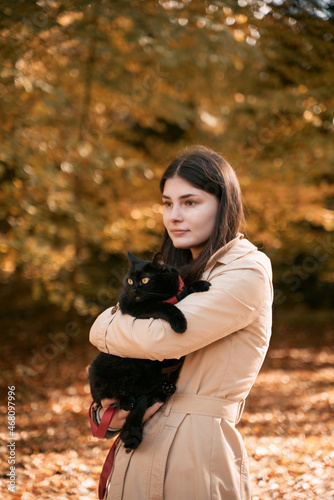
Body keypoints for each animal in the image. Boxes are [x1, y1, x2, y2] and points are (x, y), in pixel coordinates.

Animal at [88, 252, 209, 452]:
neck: (166, 294)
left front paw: (200, 284)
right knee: (111, 394)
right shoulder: (134, 305)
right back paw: (126, 400)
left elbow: (185, 291)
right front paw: (180, 323)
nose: (135, 290)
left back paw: (165, 388)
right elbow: (164, 306)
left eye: (144, 280)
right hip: (98, 373)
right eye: (129, 280)